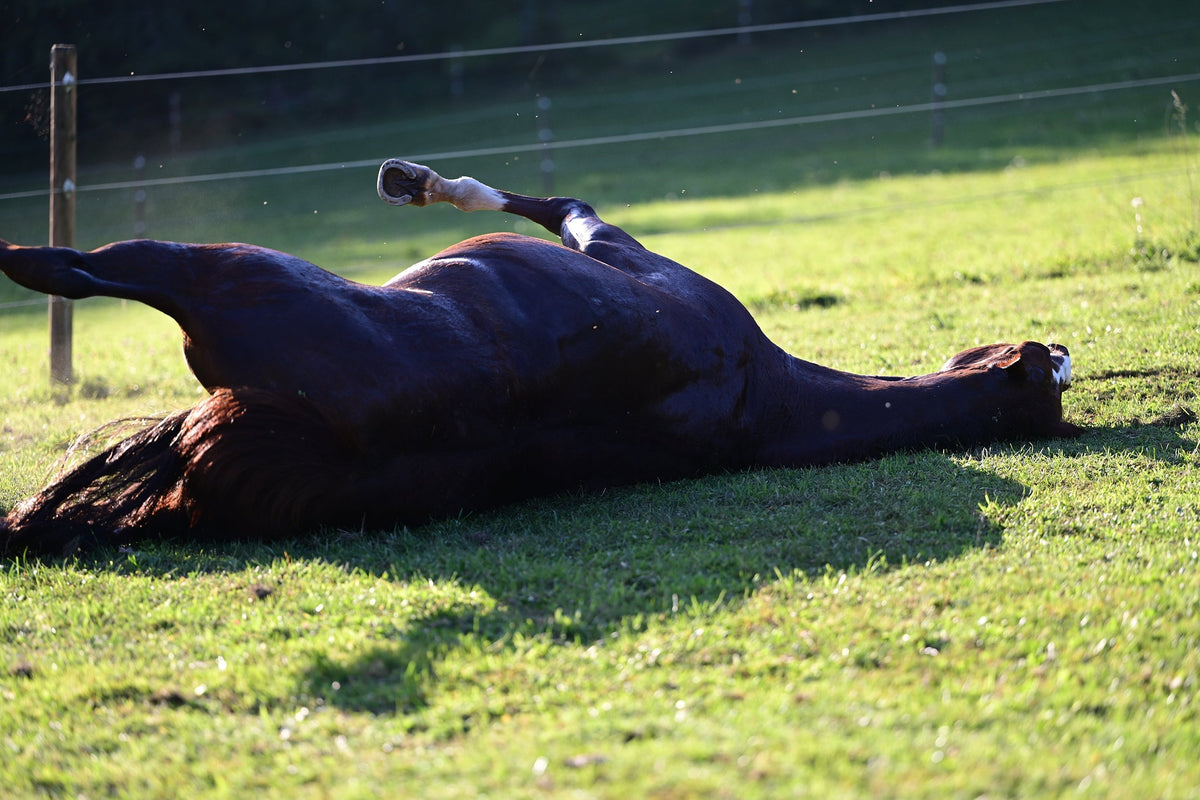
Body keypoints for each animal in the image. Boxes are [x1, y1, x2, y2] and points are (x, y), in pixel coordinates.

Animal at [0, 160, 1080, 556]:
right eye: (1050, 376)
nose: (1064, 351)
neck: (763, 393)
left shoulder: (620, 250)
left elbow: (555, 199)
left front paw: (417, 182)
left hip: (224, 275)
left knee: (86, 268)